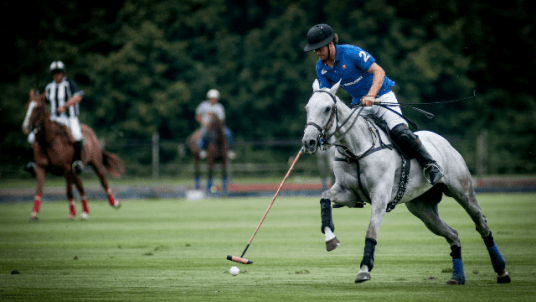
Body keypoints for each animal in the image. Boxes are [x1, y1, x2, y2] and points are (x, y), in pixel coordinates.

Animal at [22, 89, 124, 219]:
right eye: (27, 106)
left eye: (38, 108)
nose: (26, 126)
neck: (48, 141)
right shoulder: (40, 167)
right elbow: (39, 189)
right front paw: (34, 213)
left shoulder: (66, 167)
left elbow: (69, 191)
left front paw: (71, 213)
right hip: (74, 170)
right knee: (80, 185)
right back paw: (85, 211)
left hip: (94, 162)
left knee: (102, 179)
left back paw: (114, 202)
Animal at [302, 79, 510, 284]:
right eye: (307, 108)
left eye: (327, 108)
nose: (308, 142)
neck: (356, 150)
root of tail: (443, 141)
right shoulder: (348, 192)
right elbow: (324, 197)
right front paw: (330, 239)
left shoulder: (380, 196)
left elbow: (371, 231)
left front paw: (364, 269)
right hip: (422, 208)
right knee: (453, 234)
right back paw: (457, 276)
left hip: (463, 191)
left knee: (481, 223)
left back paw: (501, 271)